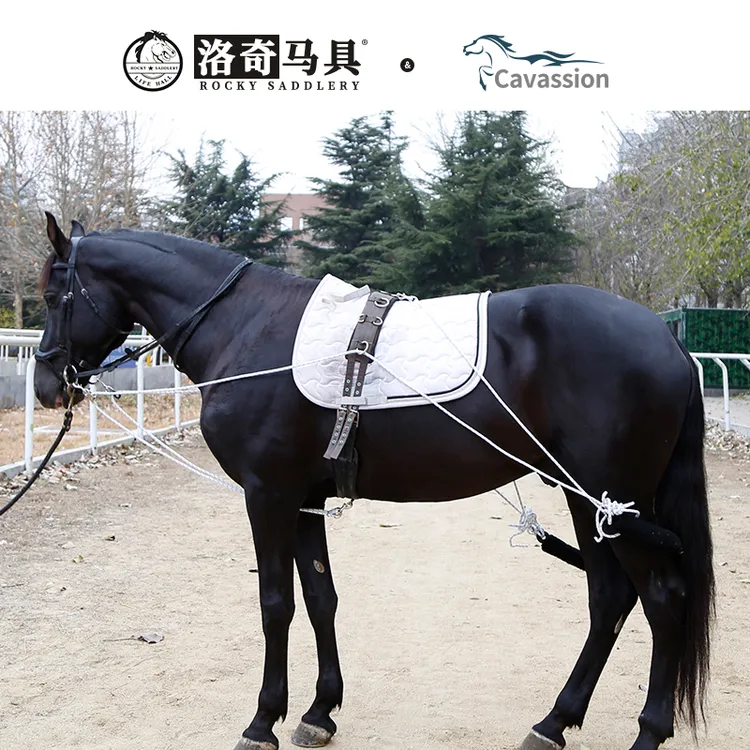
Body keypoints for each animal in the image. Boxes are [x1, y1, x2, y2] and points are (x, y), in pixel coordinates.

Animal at [34, 213, 714, 750]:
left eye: (52, 292)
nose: (46, 385)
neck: (247, 326)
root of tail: (668, 341)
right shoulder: (304, 502)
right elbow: (319, 598)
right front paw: (318, 712)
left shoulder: (268, 496)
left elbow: (275, 604)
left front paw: (263, 722)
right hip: (588, 502)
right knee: (611, 599)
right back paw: (553, 723)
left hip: (613, 504)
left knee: (660, 598)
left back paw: (645, 732)